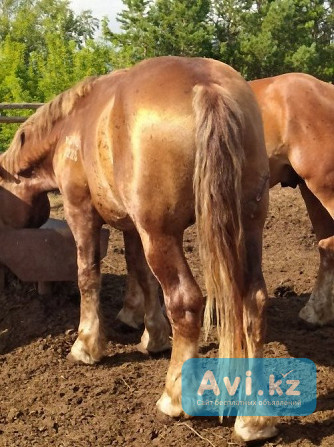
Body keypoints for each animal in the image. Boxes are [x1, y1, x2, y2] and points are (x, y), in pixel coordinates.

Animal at [0, 56, 274, 440]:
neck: (70, 128)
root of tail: (206, 86)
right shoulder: (132, 226)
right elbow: (139, 273)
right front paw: (148, 331)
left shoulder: (81, 211)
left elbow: (88, 276)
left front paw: (86, 345)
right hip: (246, 227)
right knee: (253, 303)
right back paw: (255, 419)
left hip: (161, 235)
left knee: (186, 303)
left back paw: (173, 399)